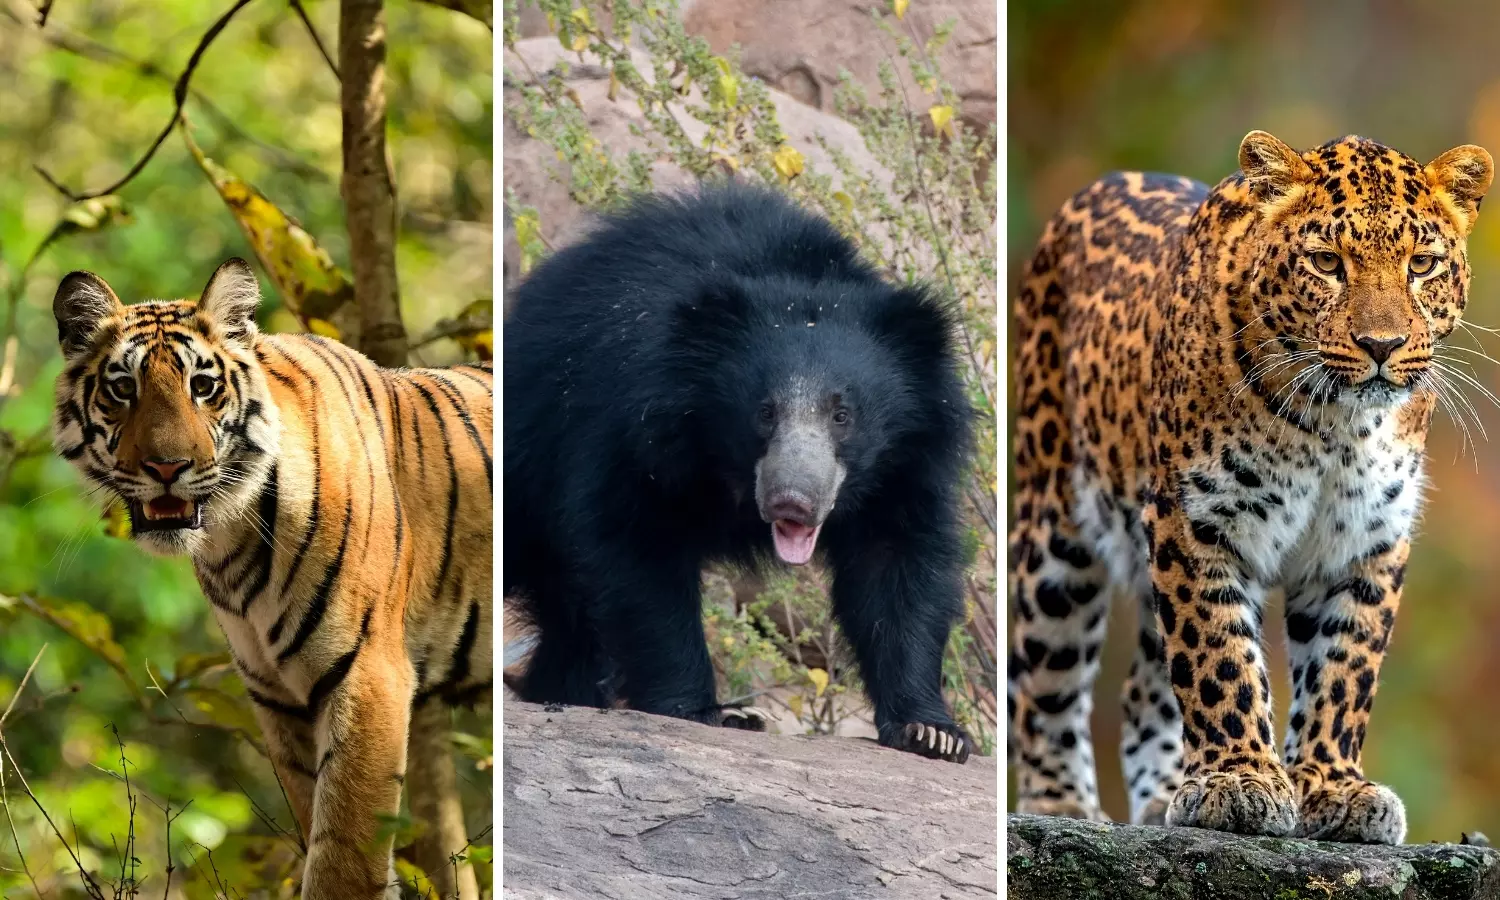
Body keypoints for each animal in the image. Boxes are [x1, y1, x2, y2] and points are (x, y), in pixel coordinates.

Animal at [50, 258, 493, 900]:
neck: (229, 540)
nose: (166, 468)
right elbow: (324, 833)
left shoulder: (368, 675)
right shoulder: (278, 695)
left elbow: (344, 859)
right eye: (122, 388)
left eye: (202, 387)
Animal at [502, 183, 975, 763]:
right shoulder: (631, 430)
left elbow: (896, 568)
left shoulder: (908, 462)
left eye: (843, 415)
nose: (793, 501)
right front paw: (710, 712)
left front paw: (931, 732)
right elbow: (639, 552)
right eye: (765, 412)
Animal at [1008, 130, 1493, 843]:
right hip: (1055, 531)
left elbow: (1343, 669)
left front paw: (1332, 785)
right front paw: (1238, 779)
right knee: (1047, 678)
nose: (1382, 345)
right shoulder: (1195, 520)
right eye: (1326, 262)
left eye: (1422, 265)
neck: (1337, 424)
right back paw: (1061, 803)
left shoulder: (1366, 541)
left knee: (1143, 687)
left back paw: (1163, 795)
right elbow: (1217, 655)